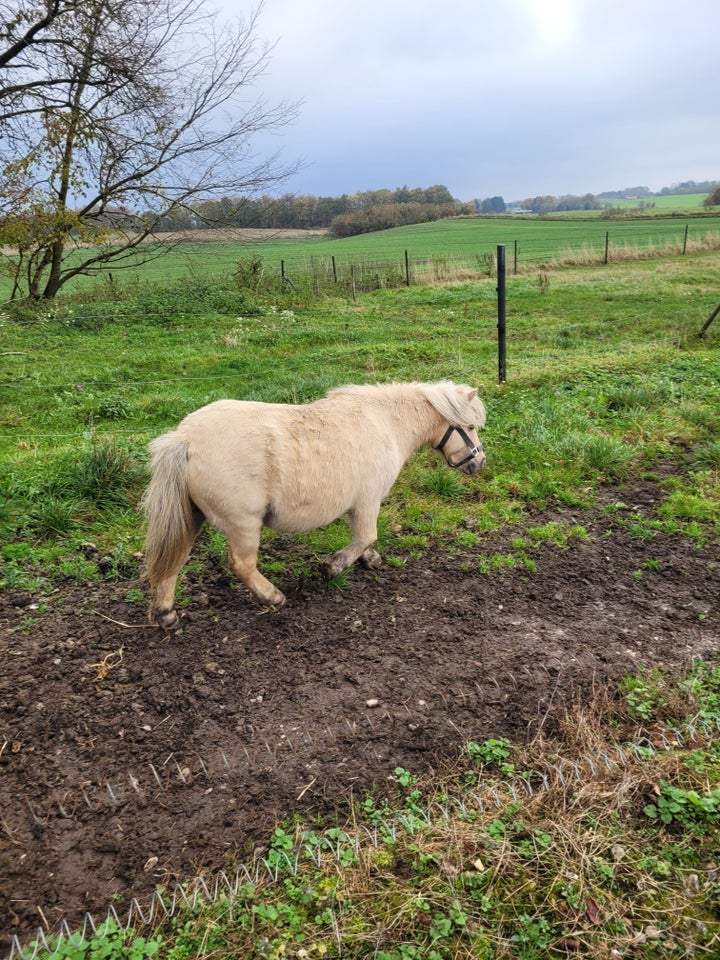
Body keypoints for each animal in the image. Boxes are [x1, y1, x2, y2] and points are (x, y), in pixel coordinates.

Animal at [141, 382, 486, 632]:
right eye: (469, 426)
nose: (479, 463)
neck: (384, 423)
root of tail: (184, 439)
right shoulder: (367, 501)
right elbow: (367, 536)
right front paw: (334, 566)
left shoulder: (361, 505)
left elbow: (364, 540)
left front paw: (368, 560)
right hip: (243, 524)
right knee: (242, 564)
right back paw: (273, 596)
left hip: (191, 517)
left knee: (173, 562)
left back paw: (165, 613)